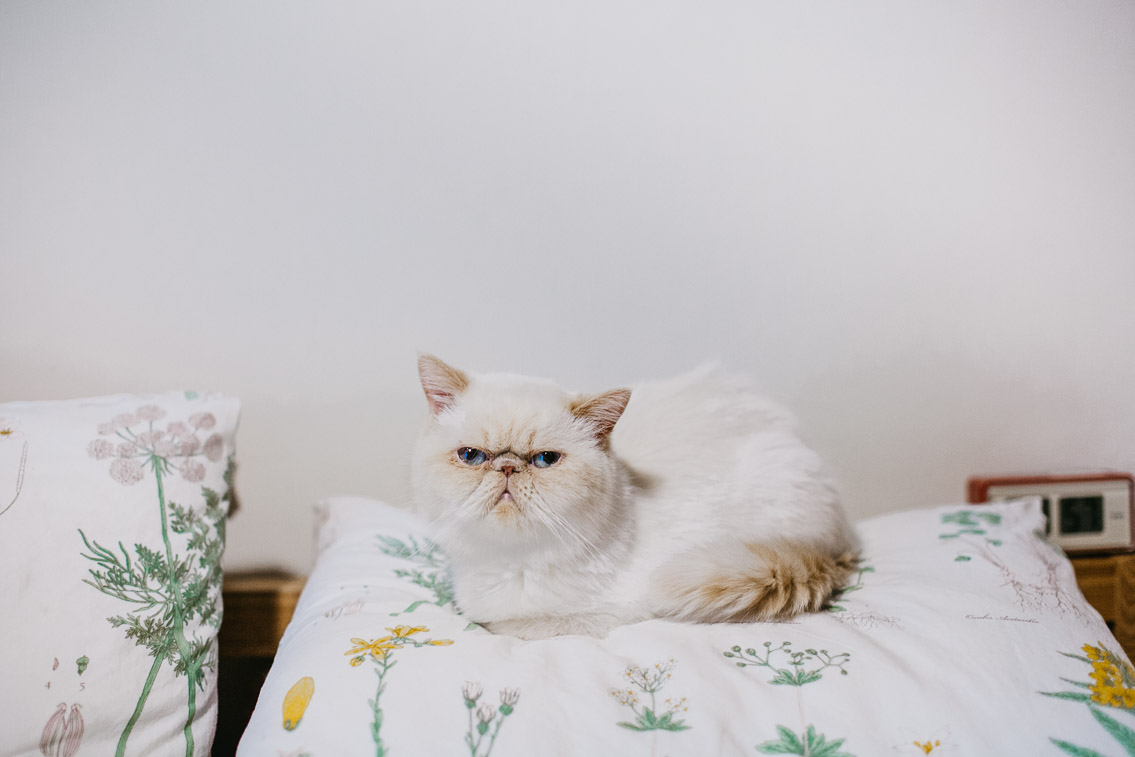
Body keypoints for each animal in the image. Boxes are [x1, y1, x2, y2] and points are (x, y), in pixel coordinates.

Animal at [410, 354, 859, 640]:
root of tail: (838, 545)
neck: (513, 564)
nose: (506, 468)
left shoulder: (608, 616)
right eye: (472, 456)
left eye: (544, 460)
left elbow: (506, 625)